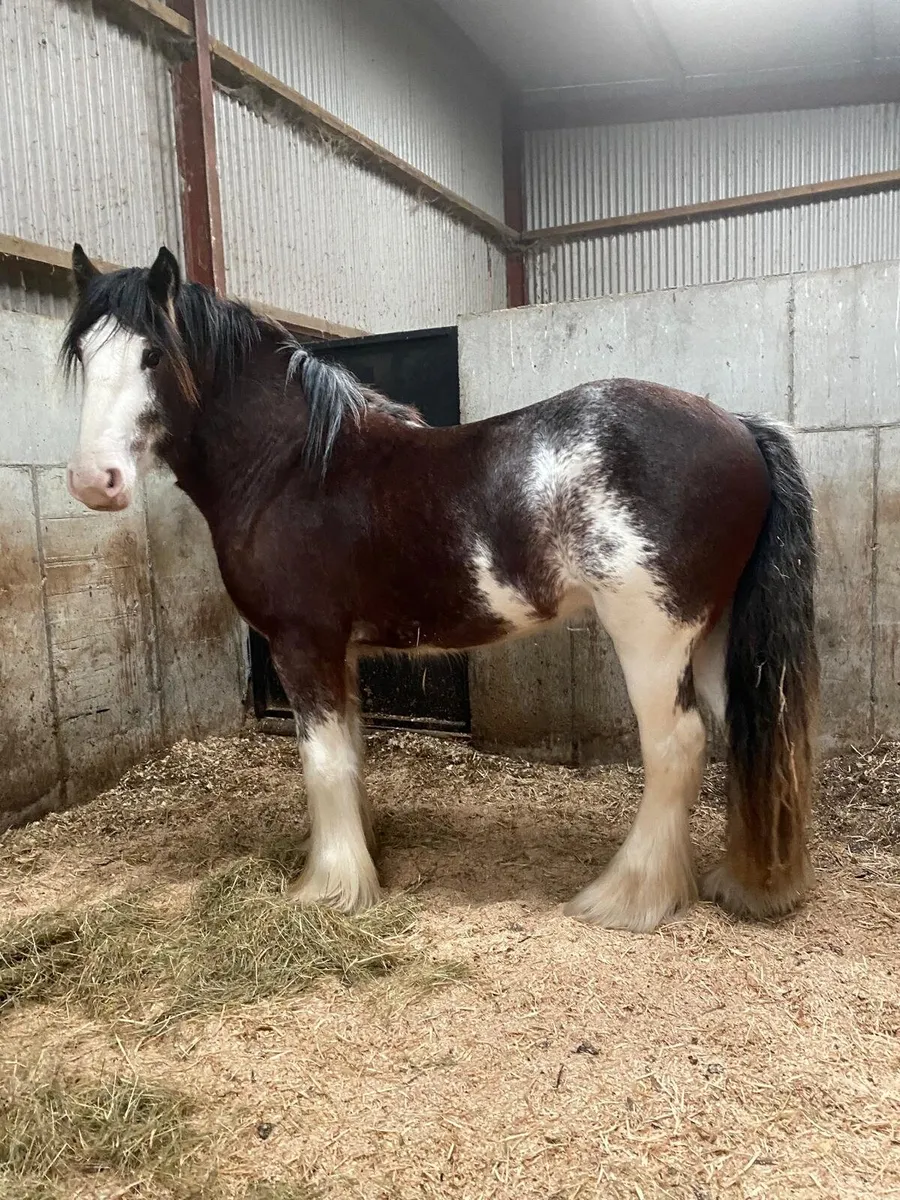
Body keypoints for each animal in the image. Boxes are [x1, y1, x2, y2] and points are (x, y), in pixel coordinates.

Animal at [61, 244, 819, 934]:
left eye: (152, 356)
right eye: (83, 357)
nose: (94, 481)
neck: (293, 467)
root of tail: (741, 428)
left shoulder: (303, 644)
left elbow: (322, 762)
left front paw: (328, 889)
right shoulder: (339, 651)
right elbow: (351, 754)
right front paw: (360, 857)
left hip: (651, 638)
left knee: (676, 748)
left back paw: (627, 897)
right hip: (714, 638)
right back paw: (733, 880)